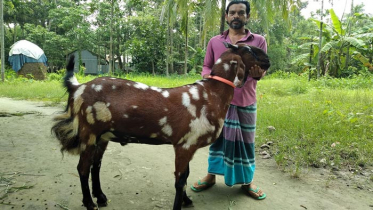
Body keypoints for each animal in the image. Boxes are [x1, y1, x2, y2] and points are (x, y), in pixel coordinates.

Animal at [51, 42, 268, 210]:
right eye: (249, 49)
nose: (268, 59)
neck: (210, 94)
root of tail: (77, 88)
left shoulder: (187, 145)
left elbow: (185, 176)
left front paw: (186, 201)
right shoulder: (185, 144)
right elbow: (180, 180)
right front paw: (179, 205)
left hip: (103, 136)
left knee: (95, 165)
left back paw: (101, 198)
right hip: (88, 132)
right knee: (82, 168)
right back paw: (90, 203)